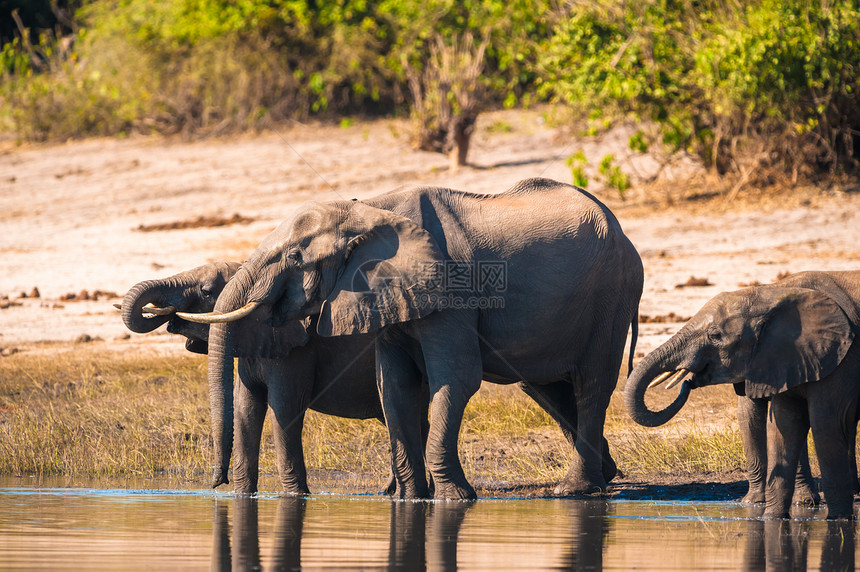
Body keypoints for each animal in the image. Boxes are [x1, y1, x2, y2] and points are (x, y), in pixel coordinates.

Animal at [181, 177, 644, 498]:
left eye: (295, 257)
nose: (216, 483)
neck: (369, 210)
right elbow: (395, 385)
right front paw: (410, 500)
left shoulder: (452, 291)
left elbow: (456, 378)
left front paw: (456, 499)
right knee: (548, 386)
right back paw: (603, 478)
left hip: (612, 294)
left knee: (592, 382)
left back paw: (574, 490)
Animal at [624, 270, 860, 520]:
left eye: (715, 335)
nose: (688, 381)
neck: (771, 293)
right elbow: (763, 419)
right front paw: (758, 508)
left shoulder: (840, 358)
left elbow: (824, 424)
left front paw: (834, 520)